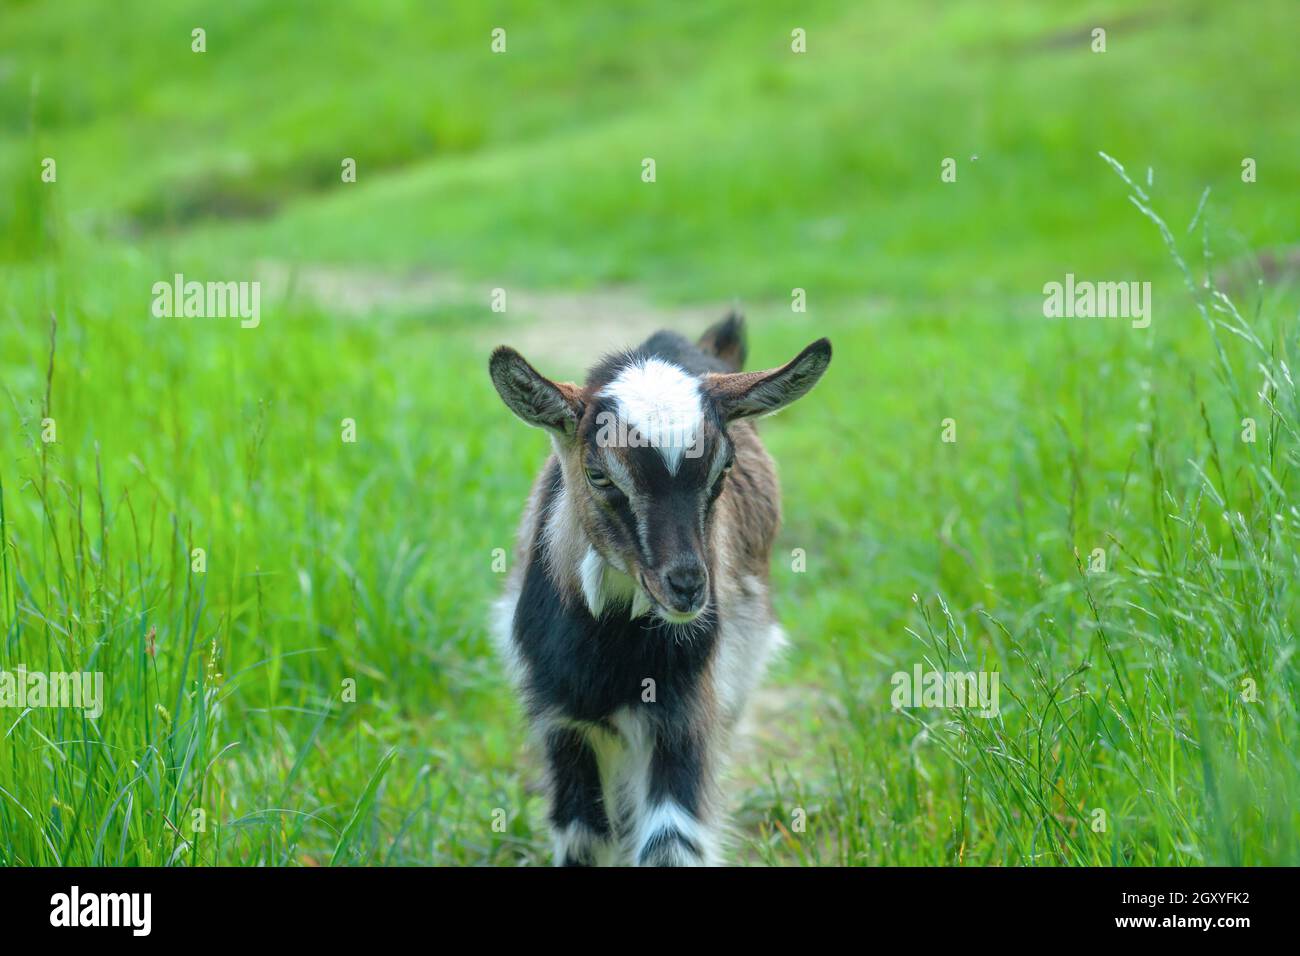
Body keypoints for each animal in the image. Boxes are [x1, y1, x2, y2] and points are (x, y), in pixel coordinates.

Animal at [488, 316, 832, 868]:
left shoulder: (686, 714)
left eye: (723, 468)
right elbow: (581, 836)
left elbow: (671, 841)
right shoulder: (560, 719)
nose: (687, 587)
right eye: (598, 474)